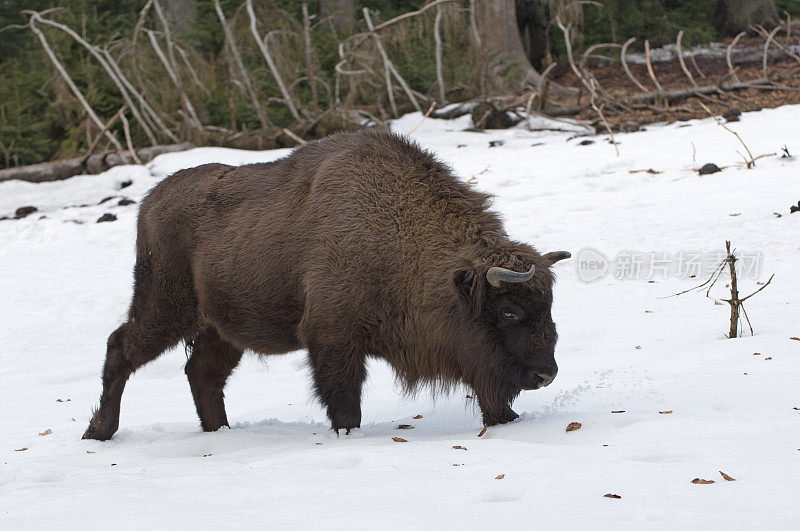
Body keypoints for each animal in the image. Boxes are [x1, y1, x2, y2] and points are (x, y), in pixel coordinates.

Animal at [83, 129, 568, 440]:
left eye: (548, 306)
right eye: (509, 310)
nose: (546, 374)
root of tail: (150, 203)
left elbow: (493, 398)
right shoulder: (334, 340)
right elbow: (344, 402)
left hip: (221, 328)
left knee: (201, 372)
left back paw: (219, 432)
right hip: (165, 307)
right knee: (120, 348)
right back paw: (98, 433)